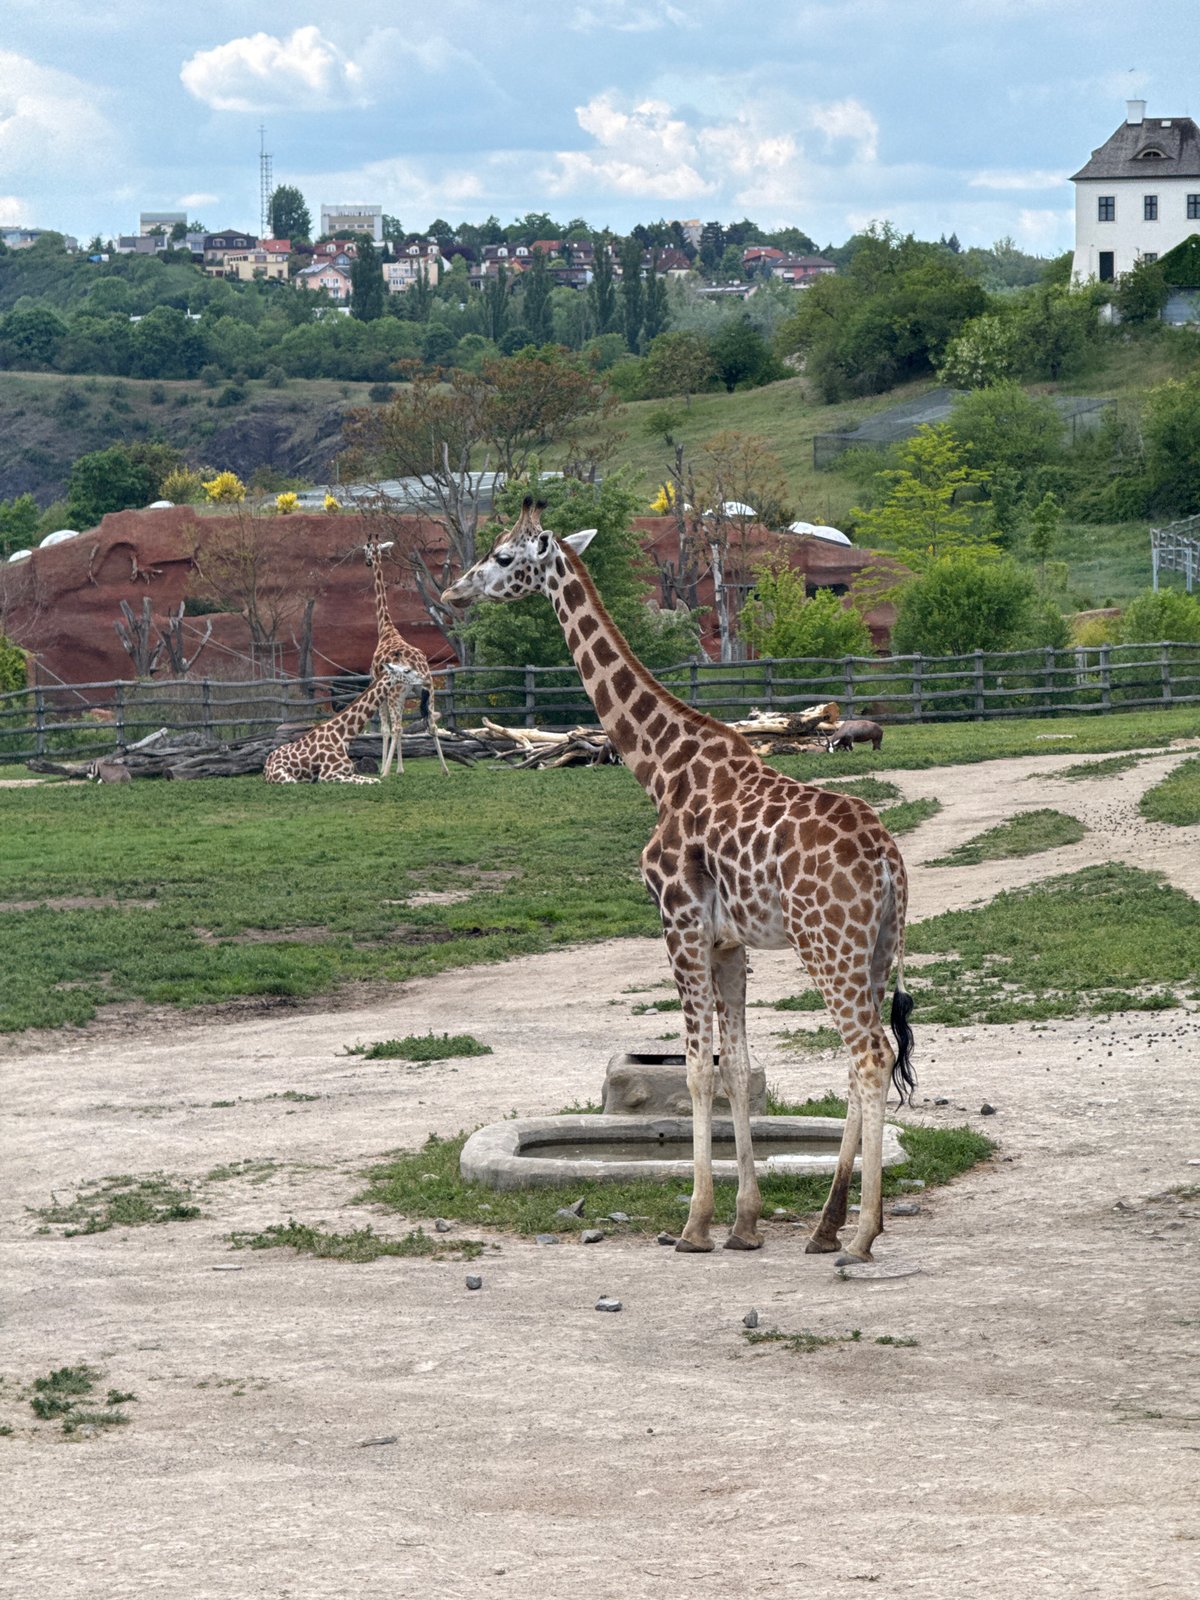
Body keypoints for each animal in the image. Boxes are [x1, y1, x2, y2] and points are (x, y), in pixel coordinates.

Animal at [264, 664, 410, 784]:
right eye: (406, 670)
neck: (343, 736)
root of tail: (266, 767)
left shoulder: (349, 772)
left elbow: (373, 780)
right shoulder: (326, 775)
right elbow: (370, 781)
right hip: (288, 779)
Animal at [364, 534, 450, 776]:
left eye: (365, 550)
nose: (367, 562)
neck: (385, 629)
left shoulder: (379, 687)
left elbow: (385, 729)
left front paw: (387, 768)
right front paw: (400, 769)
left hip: (396, 695)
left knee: (397, 727)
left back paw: (384, 772)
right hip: (428, 691)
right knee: (432, 725)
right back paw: (445, 769)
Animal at [442, 499, 914, 1265]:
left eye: (505, 556)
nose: (455, 592)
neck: (660, 766)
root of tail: (887, 860)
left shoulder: (678, 921)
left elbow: (696, 1068)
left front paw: (696, 1225)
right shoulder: (728, 943)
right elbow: (736, 1068)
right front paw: (746, 1223)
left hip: (828, 947)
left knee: (869, 1056)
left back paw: (862, 1234)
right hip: (872, 951)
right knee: (861, 1057)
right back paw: (825, 1226)